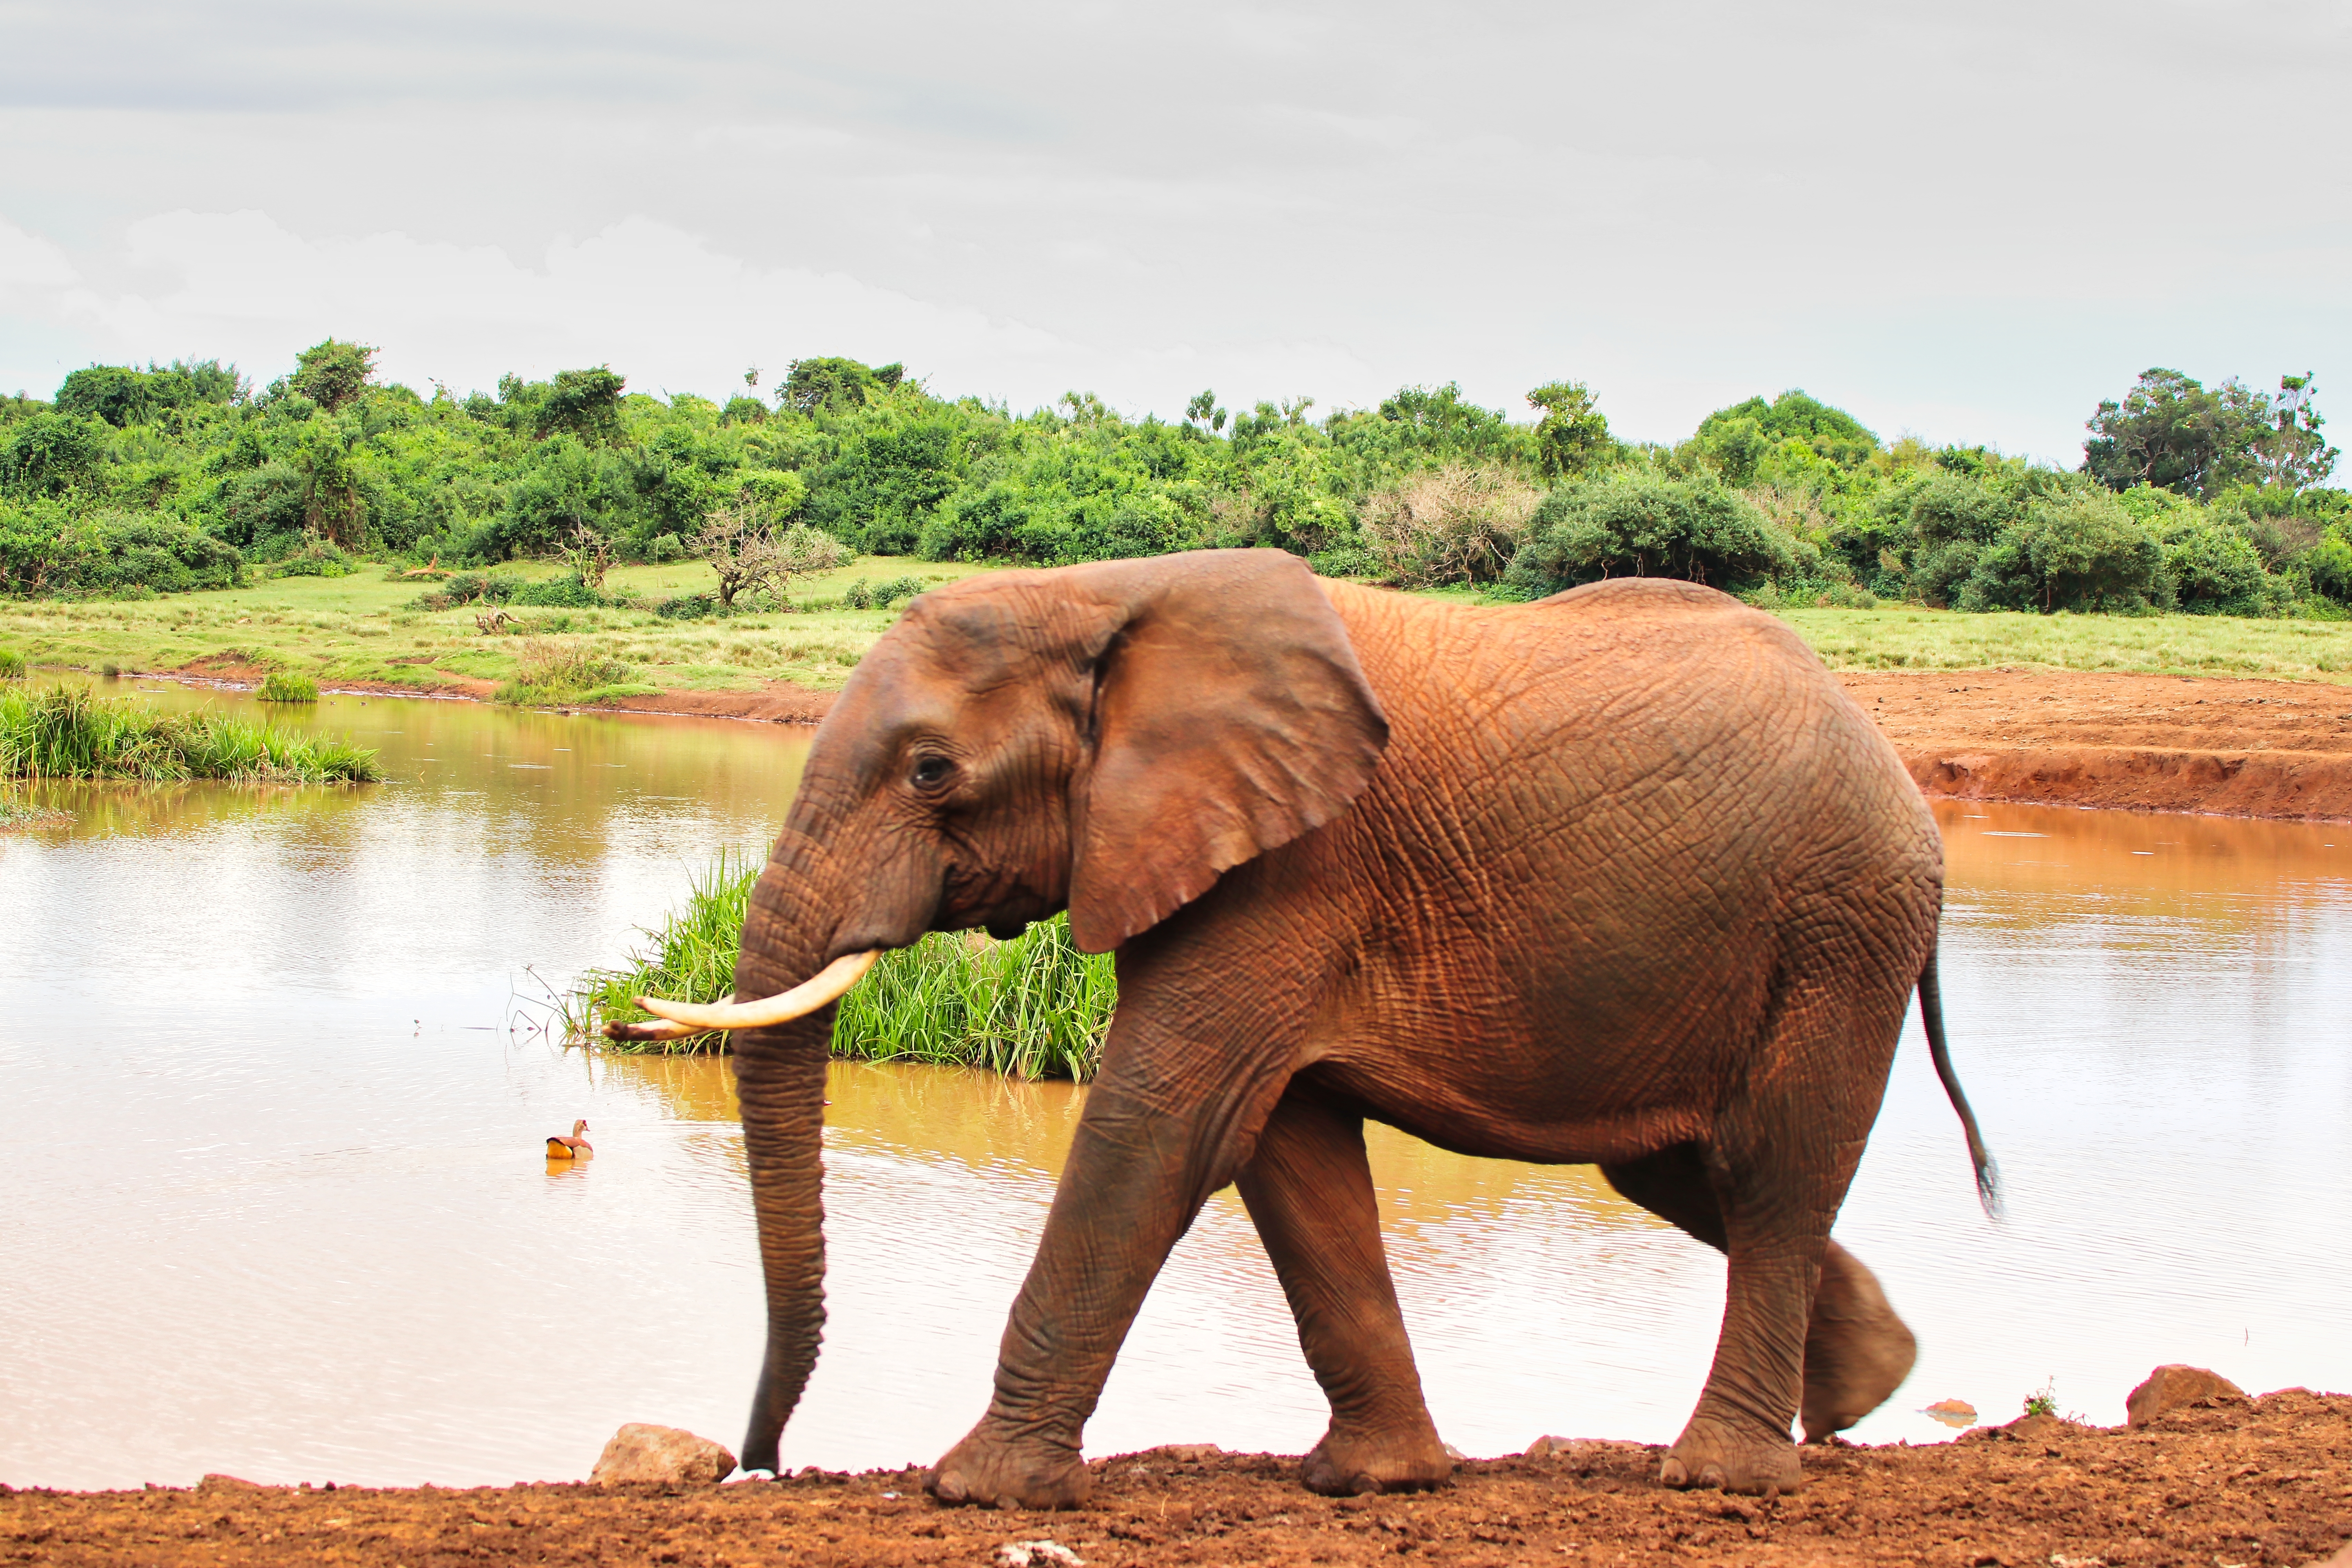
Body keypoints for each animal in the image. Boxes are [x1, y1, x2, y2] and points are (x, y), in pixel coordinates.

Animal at [612, 548, 1994, 1504]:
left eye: (931, 772)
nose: (766, 1462)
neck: (1112, 595)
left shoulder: (1290, 867)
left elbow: (1161, 1124)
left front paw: (973, 1491)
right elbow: (1288, 1152)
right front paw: (1376, 1482)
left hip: (1839, 927)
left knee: (1772, 1168)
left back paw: (1723, 1477)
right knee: (1679, 1169)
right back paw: (1868, 1385)